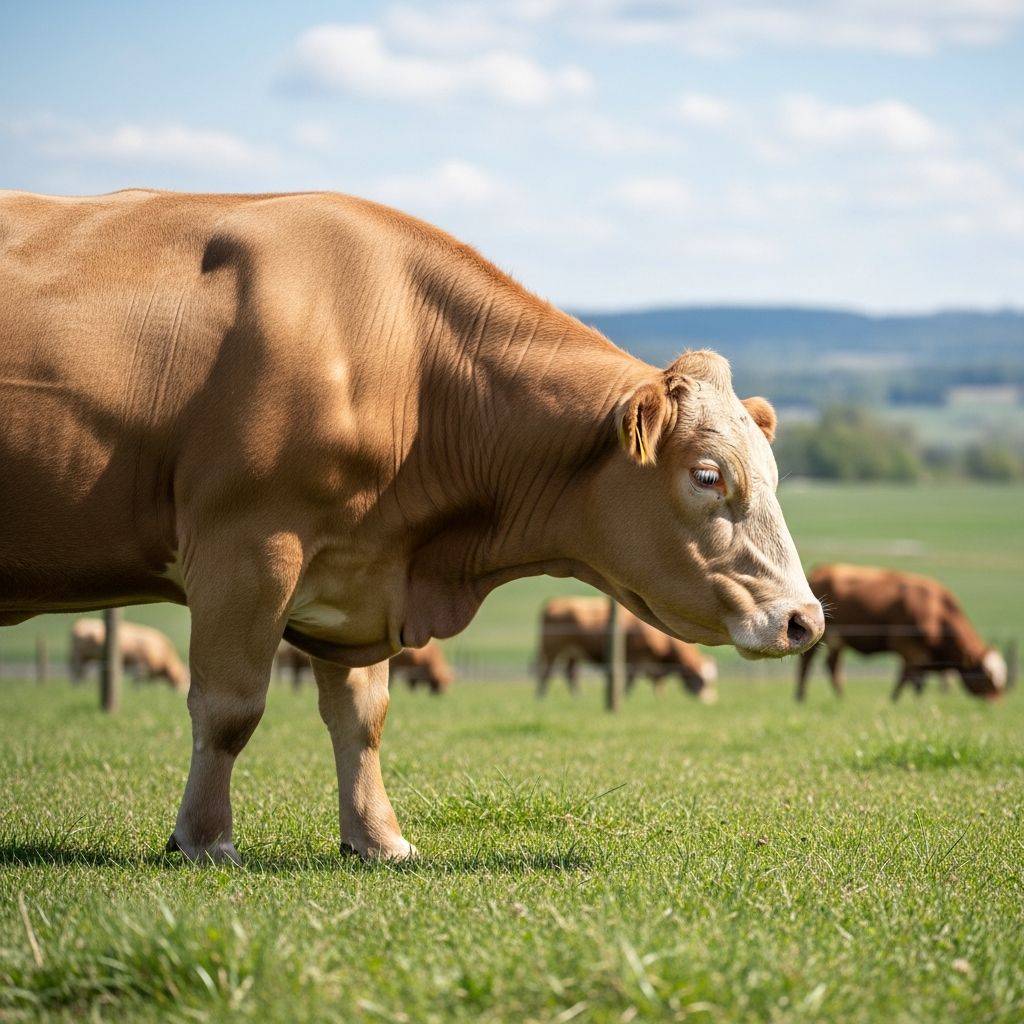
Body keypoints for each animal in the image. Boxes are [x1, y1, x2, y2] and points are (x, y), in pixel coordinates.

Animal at [537, 597, 717, 702]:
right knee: (546, 672)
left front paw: (659, 698)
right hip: (552, 649)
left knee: (570, 674)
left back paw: (578, 696)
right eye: (701, 680)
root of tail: (554, 602)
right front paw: (625, 696)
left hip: (573, 653)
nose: (709, 700)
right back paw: (541, 696)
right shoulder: (636, 657)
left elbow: (658, 682)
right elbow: (631, 680)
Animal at [796, 564, 1008, 702]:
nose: (996, 702)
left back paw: (841, 697)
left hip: (837, 640)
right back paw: (801, 697)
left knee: (832, 665)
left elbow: (916, 678)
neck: (936, 610)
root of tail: (822, 569)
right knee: (807, 664)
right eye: (986, 676)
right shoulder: (906, 646)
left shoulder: (921, 655)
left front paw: (916, 701)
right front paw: (896, 700)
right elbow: (907, 677)